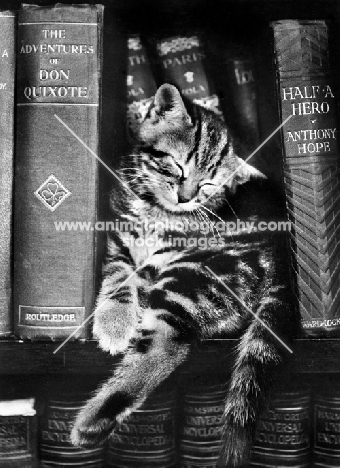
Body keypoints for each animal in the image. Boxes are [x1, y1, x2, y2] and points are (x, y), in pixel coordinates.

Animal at [71, 82, 298, 466]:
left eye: (208, 185)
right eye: (177, 165)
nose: (185, 197)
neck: (156, 211)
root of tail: (279, 261)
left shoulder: (170, 254)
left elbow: (134, 276)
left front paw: (114, 324)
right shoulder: (118, 238)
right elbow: (119, 273)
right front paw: (115, 318)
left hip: (196, 272)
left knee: (168, 344)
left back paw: (93, 422)